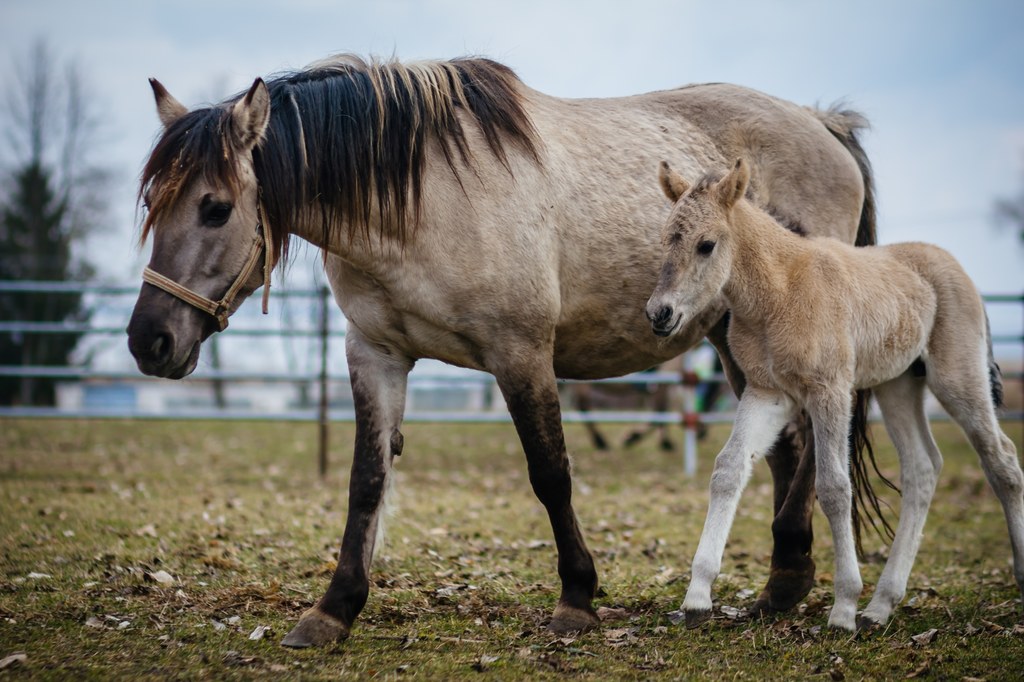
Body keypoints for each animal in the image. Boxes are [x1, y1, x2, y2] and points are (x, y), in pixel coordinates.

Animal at [125, 55, 880, 647]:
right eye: (154, 205)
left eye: (216, 208)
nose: (148, 341)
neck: (420, 198)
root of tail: (823, 125)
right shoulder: (375, 354)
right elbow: (367, 480)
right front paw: (334, 608)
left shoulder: (520, 354)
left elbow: (550, 474)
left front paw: (577, 598)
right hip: (735, 338)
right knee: (785, 447)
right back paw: (784, 582)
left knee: (812, 442)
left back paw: (788, 571)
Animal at [643, 157, 1019, 626]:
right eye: (665, 240)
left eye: (706, 245)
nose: (660, 313)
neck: (780, 292)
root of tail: (957, 267)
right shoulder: (767, 392)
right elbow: (728, 469)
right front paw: (696, 598)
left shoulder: (831, 392)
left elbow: (836, 487)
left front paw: (843, 608)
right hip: (897, 384)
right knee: (922, 468)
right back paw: (880, 606)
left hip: (958, 377)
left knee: (1002, 460)